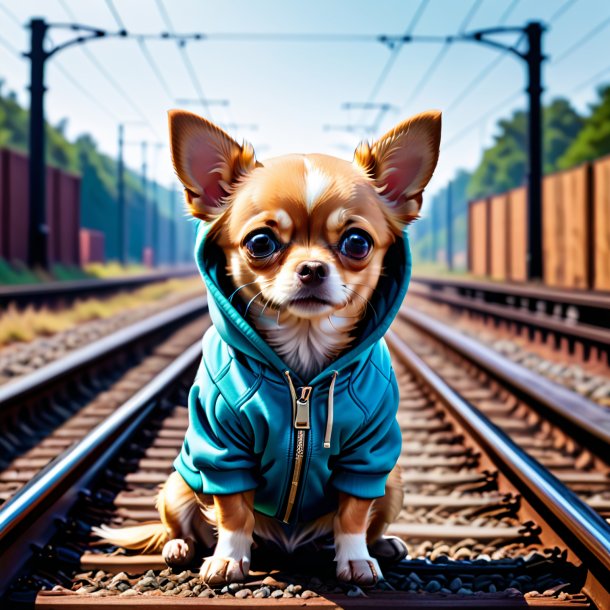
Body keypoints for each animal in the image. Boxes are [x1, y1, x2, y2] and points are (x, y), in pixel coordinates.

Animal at [95, 108, 440, 584]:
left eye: (357, 243)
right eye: (261, 243)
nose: (312, 268)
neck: (304, 373)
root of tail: (288, 545)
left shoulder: (369, 455)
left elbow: (353, 513)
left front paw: (355, 559)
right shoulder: (222, 448)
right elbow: (233, 511)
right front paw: (227, 559)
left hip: (394, 482)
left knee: (368, 520)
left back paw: (383, 545)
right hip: (179, 481)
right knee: (177, 524)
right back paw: (181, 547)